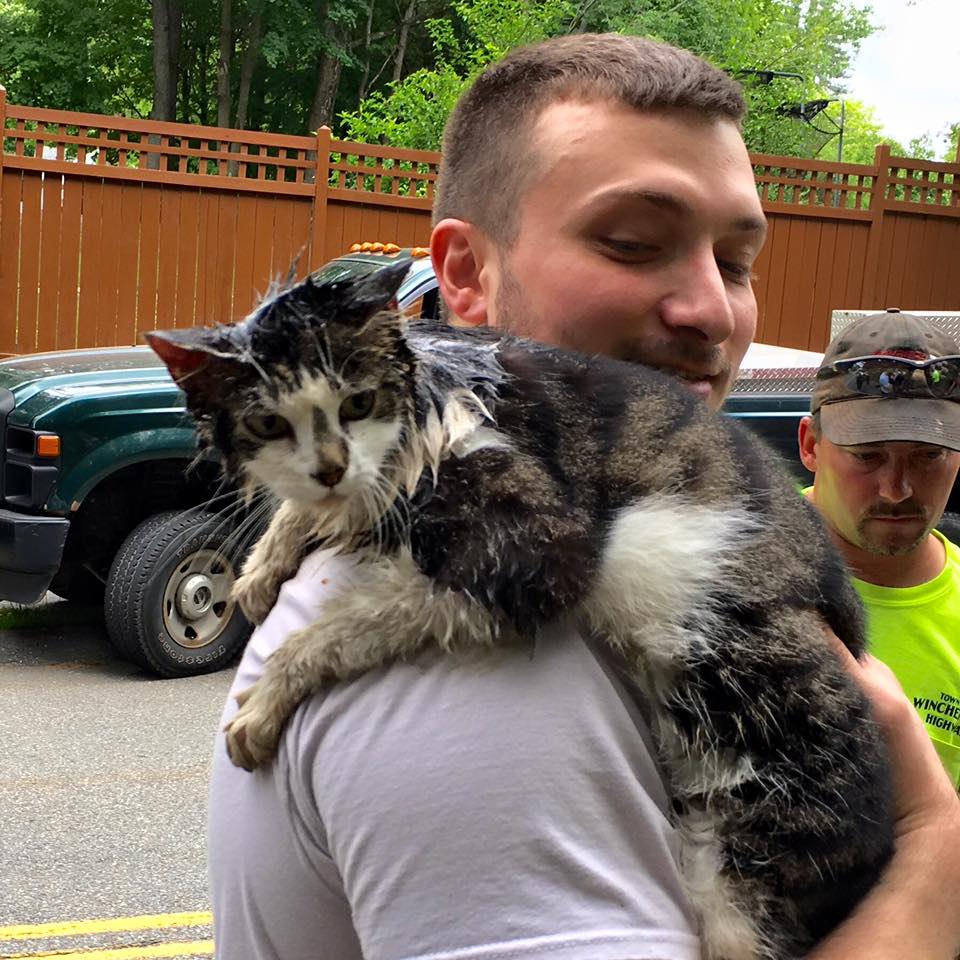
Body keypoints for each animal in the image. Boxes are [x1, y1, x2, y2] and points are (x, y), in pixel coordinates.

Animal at [148, 262, 892, 960]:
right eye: (268, 422)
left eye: (358, 402)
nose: (330, 465)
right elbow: (325, 512)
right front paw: (263, 566)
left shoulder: (539, 550)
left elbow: (346, 624)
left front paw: (266, 697)